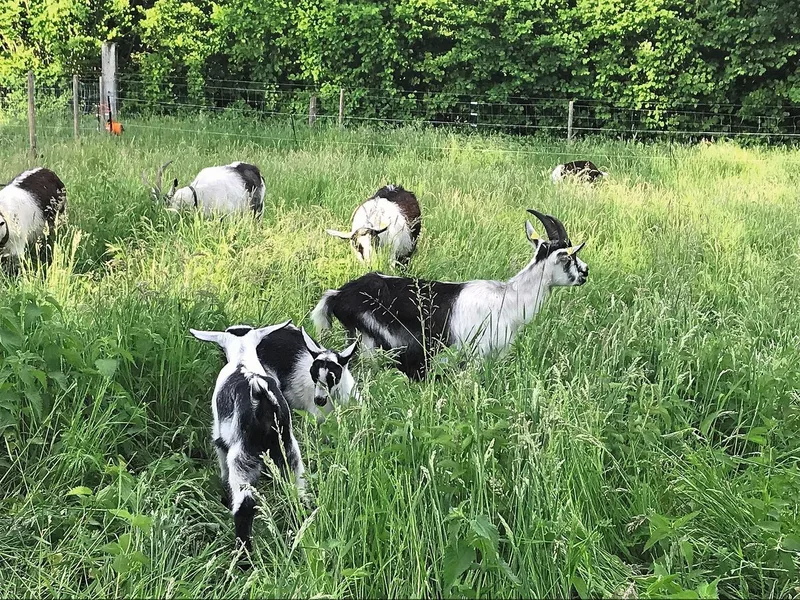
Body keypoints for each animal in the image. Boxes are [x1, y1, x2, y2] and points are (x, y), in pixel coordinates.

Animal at [190, 320, 305, 552]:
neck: (242, 359)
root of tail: (263, 398)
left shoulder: (220, 441)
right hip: (290, 454)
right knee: (299, 494)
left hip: (242, 458)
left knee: (245, 506)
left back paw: (242, 555)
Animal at [312, 210, 588, 380]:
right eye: (570, 258)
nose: (585, 272)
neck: (508, 298)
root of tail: (337, 295)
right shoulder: (477, 356)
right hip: (372, 346)